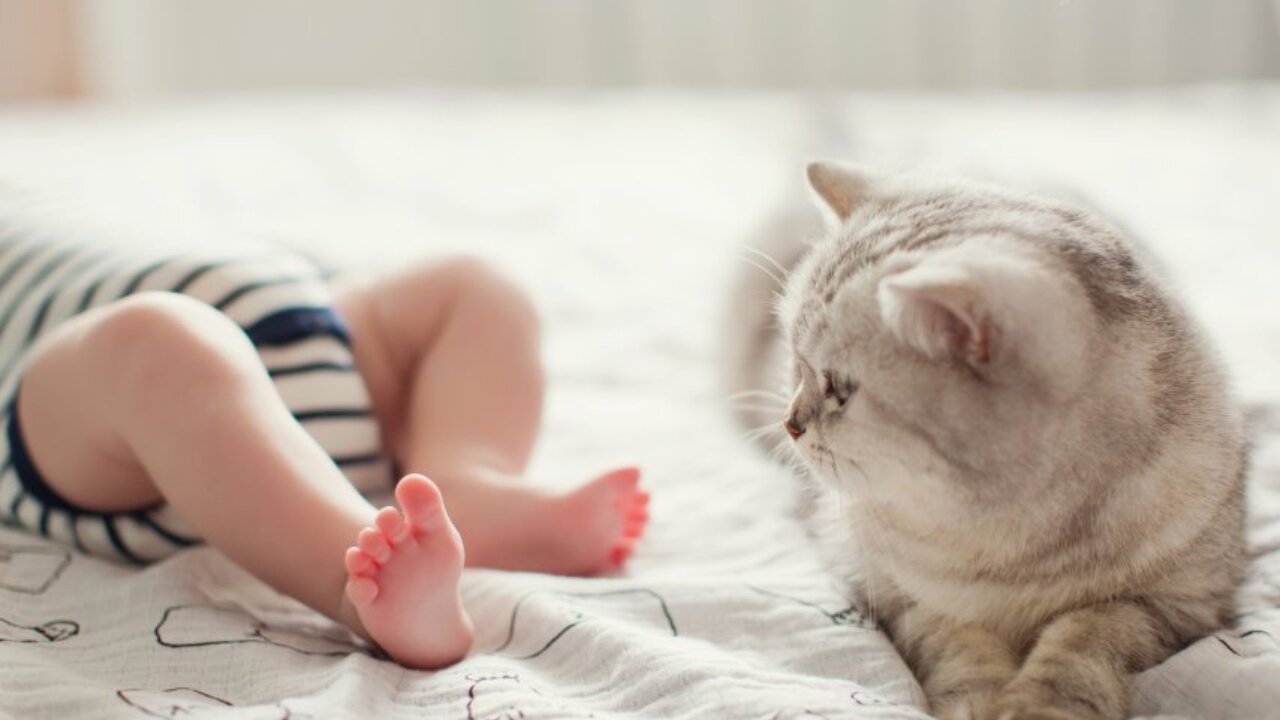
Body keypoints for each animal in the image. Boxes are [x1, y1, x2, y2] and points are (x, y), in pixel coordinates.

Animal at [727, 162, 1244, 717]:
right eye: (795, 364)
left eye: (840, 390)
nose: (790, 423)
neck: (1009, 540)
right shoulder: (893, 591)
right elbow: (958, 645)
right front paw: (980, 700)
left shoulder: (1179, 601)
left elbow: (1087, 637)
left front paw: (1042, 703)